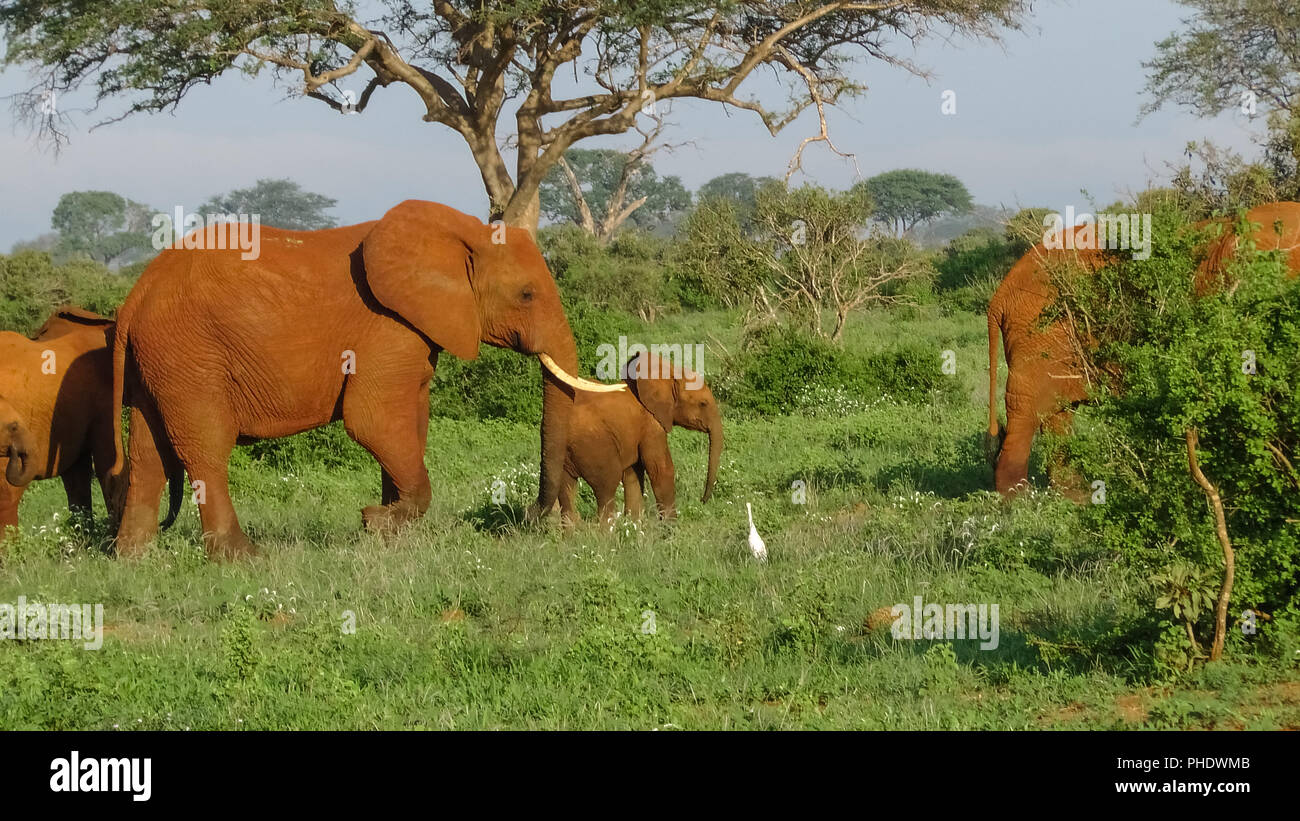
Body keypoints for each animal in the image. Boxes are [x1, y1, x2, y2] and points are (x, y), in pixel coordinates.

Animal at [110, 199, 623, 560]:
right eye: (527, 294)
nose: (537, 515)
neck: (461, 233)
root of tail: (135, 294)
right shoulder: (388, 327)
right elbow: (372, 420)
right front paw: (377, 521)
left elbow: (412, 422)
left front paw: (388, 530)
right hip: (189, 353)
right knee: (206, 447)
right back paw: (244, 558)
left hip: (161, 360)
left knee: (149, 453)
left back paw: (134, 559)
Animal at [558, 352, 722, 526]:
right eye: (703, 403)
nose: (702, 500)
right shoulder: (651, 425)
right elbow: (660, 469)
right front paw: (671, 527)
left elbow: (633, 474)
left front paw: (634, 525)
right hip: (592, 445)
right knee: (605, 485)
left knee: (566, 488)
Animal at [986, 201, 1300, 496]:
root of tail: (1001, 293)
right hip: (1037, 332)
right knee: (1026, 411)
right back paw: (1020, 502)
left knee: (1057, 415)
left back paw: (1074, 499)